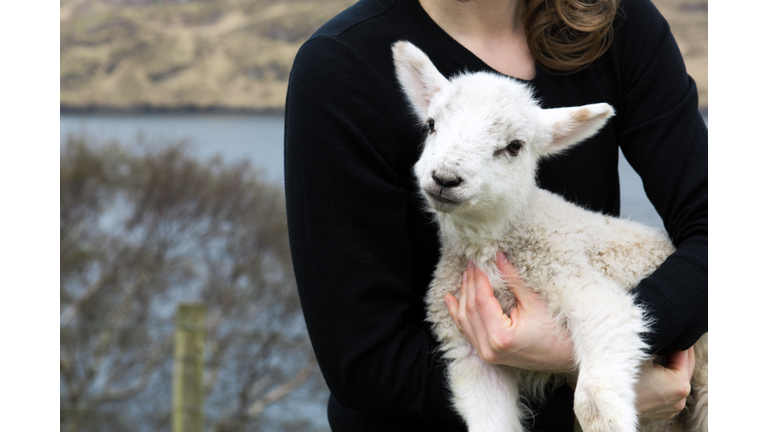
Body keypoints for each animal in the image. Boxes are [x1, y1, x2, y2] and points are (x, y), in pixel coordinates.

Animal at [392, 41, 704, 432]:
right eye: (431, 125)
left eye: (514, 146)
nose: (445, 179)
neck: (489, 243)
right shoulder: (468, 351)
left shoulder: (584, 288)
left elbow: (594, 405)